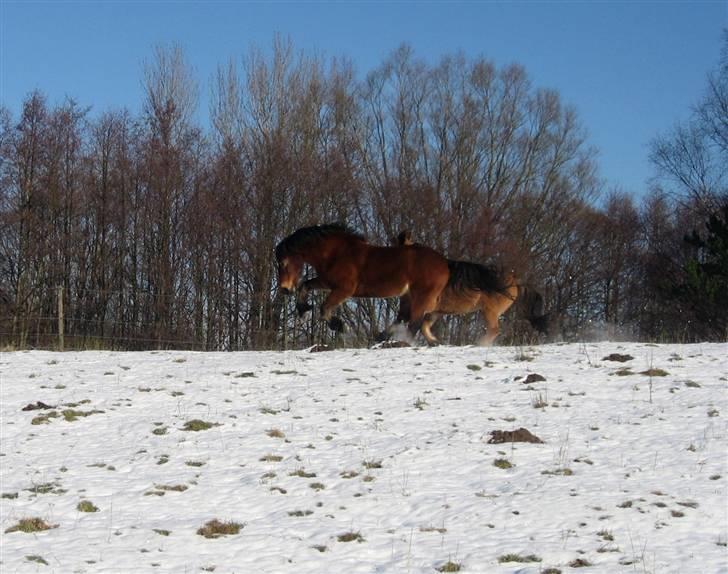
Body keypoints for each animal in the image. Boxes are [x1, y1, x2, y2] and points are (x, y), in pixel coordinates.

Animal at [278, 225, 452, 342]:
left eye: (284, 263)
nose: (284, 289)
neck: (336, 253)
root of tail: (445, 264)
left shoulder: (344, 289)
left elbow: (324, 308)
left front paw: (339, 326)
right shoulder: (327, 282)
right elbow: (305, 286)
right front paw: (303, 309)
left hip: (421, 297)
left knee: (414, 324)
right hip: (409, 296)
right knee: (407, 319)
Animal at [390, 231, 548, 346]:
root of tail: (515, 280)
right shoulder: (433, 311)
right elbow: (423, 327)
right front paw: (435, 341)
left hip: (489, 311)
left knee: (494, 330)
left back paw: (478, 343)